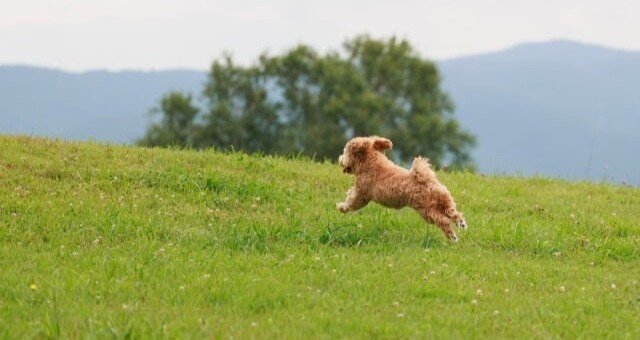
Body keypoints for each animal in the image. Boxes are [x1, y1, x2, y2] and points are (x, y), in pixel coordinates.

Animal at [338, 136, 468, 242]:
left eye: (346, 151)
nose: (340, 159)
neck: (372, 163)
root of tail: (427, 181)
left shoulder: (362, 193)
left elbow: (352, 202)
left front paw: (341, 207)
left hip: (427, 210)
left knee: (444, 221)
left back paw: (453, 237)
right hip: (445, 200)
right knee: (453, 213)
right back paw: (461, 223)